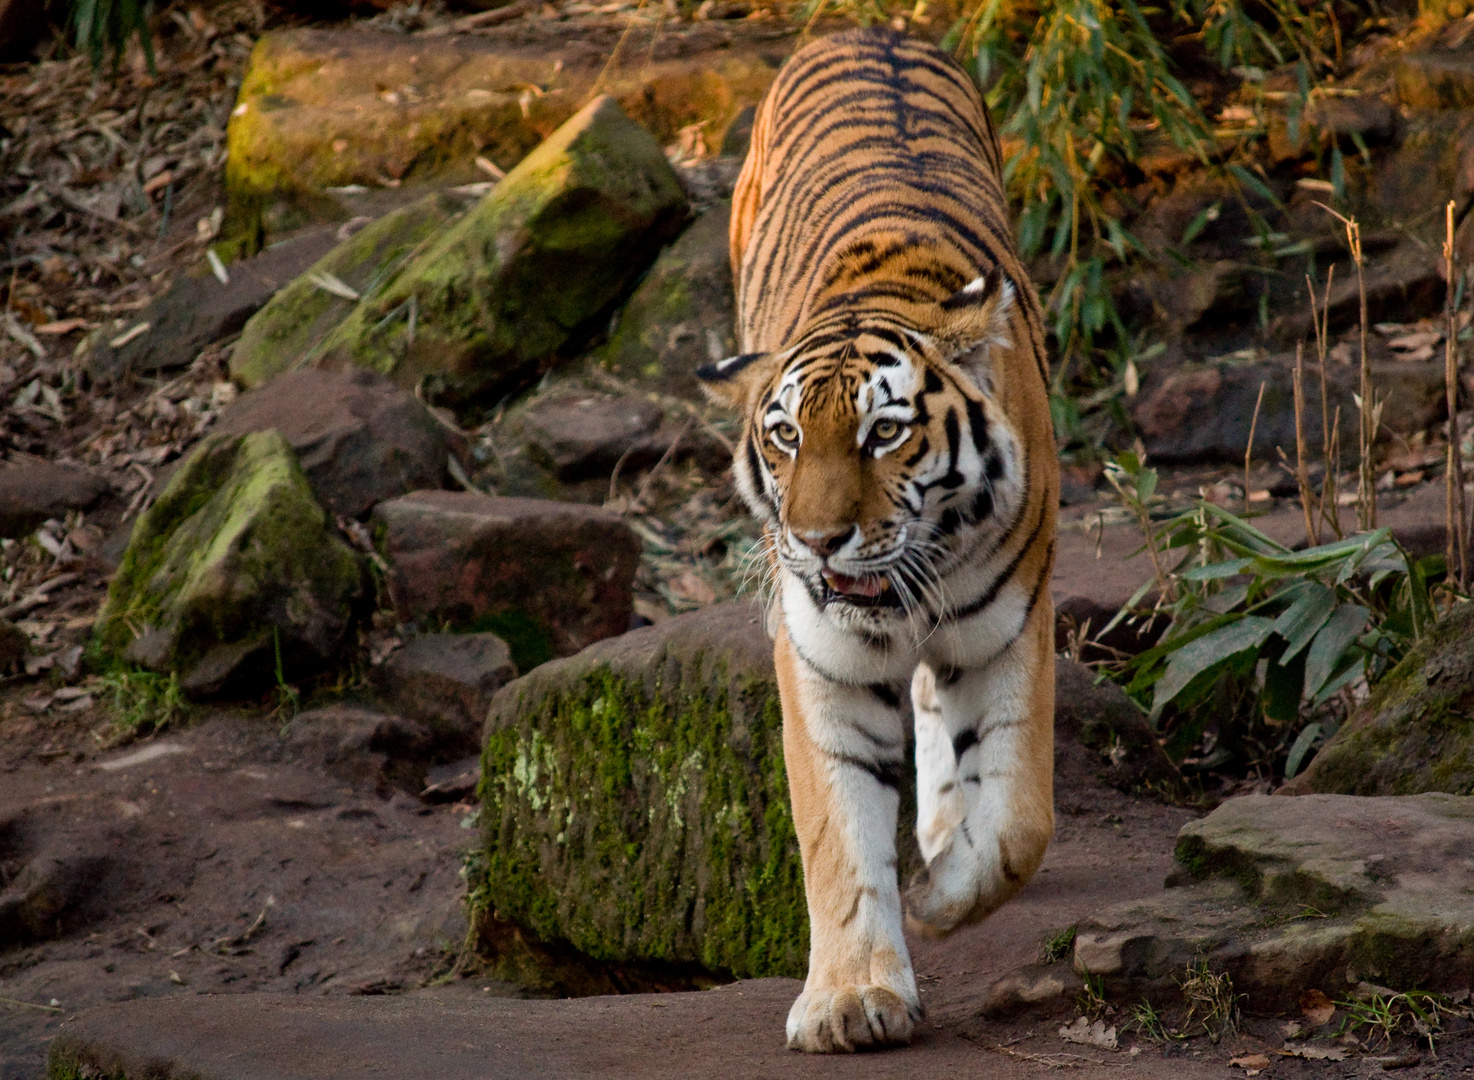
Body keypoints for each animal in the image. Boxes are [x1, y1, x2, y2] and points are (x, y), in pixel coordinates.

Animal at [692, 27, 1055, 1054]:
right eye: (785, 436)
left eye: (883, 433)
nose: (817, 541)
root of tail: (869, 29)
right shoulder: (825, 656)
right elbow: (836, 831)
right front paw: (853, 999)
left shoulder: (1010, 628)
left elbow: (1017, 819)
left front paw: (938, 897)